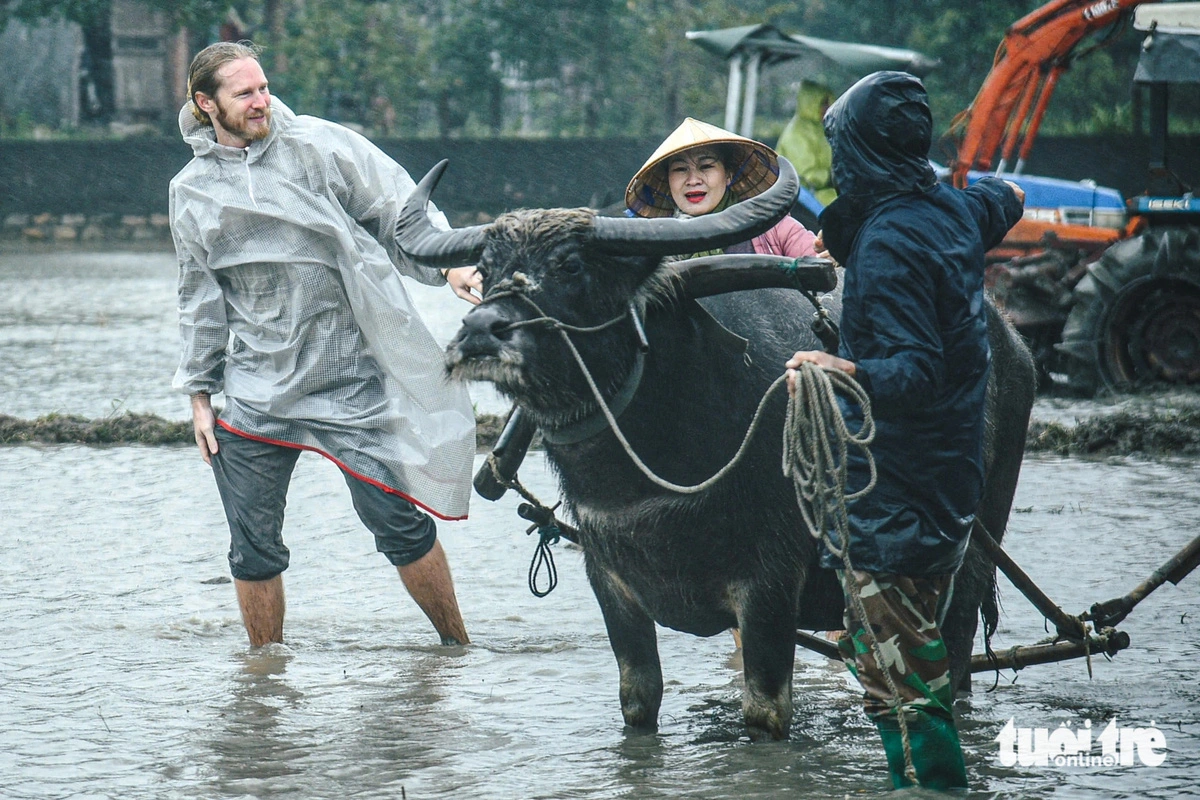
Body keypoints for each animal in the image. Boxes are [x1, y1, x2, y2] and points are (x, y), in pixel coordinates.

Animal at [398, 159, 1036, 743]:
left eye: (571, 264)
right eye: (486, 269)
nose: (479, 331)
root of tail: (1013, 340)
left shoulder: (770, 587)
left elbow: (765, 711)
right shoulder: (612, 583)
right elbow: (638, 701)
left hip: (968, 555)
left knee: (950, 662)